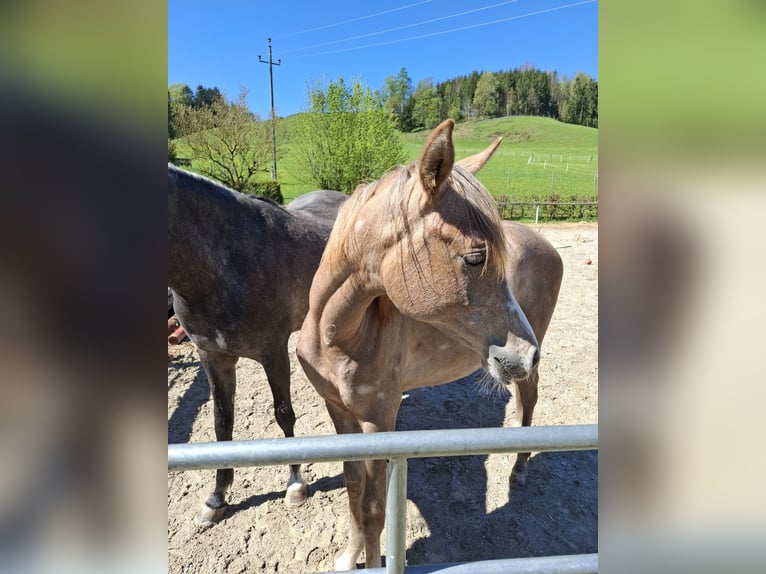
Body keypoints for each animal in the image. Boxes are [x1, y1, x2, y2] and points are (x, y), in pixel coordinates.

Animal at [168, 164, 347, 526]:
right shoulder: (213, 357)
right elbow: (222, 424)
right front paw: (216, 498)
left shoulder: (273, 352)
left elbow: (284, 415)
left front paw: (295, 484)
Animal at [296, 119, 563, 570]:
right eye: (475, 257)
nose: (523, 354)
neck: (337, 334)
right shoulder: (339, 413)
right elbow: (353, 492)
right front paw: (349, 557)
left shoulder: (379, 421)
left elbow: (374, 511)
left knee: (530, 399)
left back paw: (520, 469)